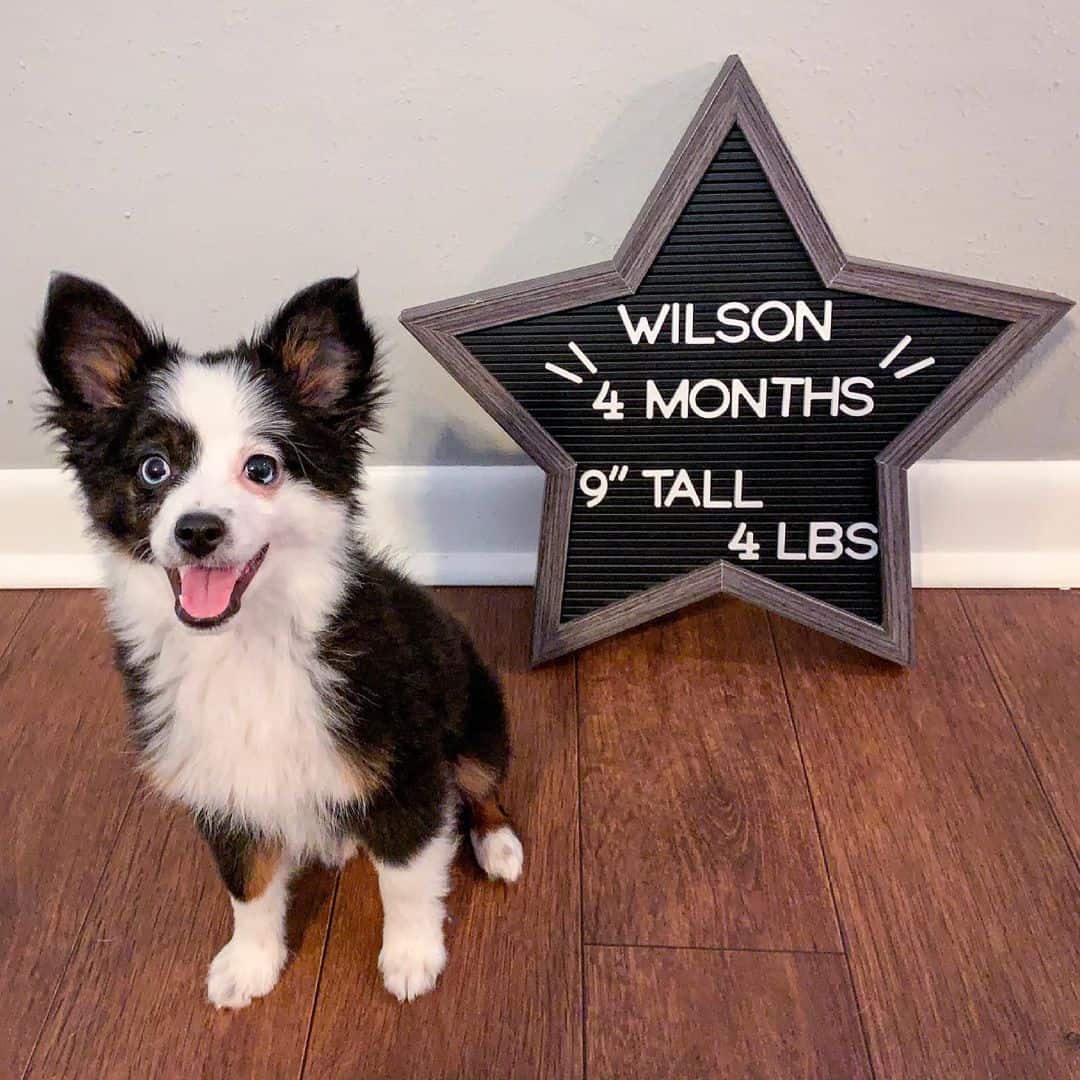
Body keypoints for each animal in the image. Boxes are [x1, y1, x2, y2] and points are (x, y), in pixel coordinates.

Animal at [33, 274, 522, 1006]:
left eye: (262, 469)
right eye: (153, 470)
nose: (197, 531)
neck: (246, 642)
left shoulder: (403, 767)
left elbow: (406, 875)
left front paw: (411, 957)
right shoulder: (222, 785)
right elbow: (248, 884)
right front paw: (250, 963)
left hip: (477, 719)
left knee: (482, 785)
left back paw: (499, 846)